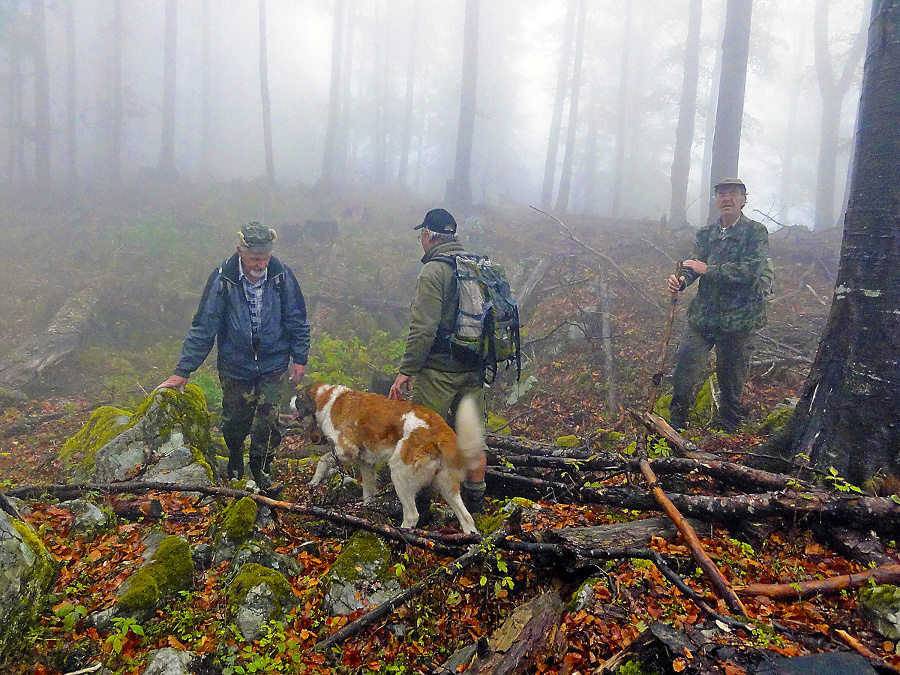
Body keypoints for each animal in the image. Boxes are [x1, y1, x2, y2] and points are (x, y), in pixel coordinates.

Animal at [290, 386, 486, 532]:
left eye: (298, 398)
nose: (290, 400)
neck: (328, 399)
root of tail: (440, 429)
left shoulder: (347, 450)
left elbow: (323, 461)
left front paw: (313, 482)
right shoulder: (366, 462)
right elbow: (368, 490)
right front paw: (367, 509)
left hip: (400, 475)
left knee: (412, 515)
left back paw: (400, 533)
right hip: (446, 486)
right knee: (467, 517)